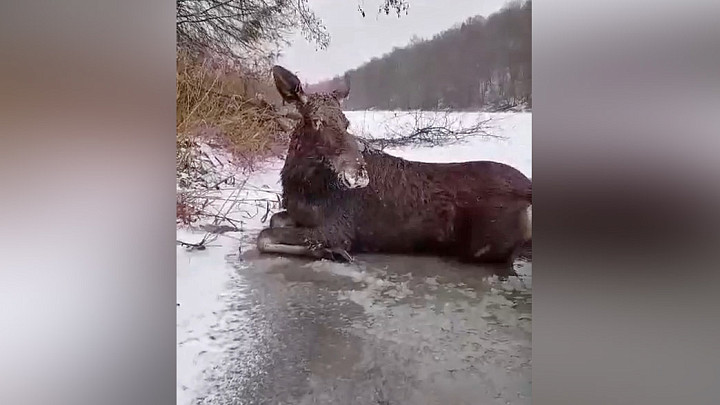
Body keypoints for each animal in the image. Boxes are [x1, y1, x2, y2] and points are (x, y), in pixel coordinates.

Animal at [256, 66, 532, 274]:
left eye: (346, 122)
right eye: (315, 121)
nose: (358, 173)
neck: (300, 185)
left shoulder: (338, 227)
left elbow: (264, 235)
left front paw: (331, 251)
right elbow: (273, 220)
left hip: (484, 247)